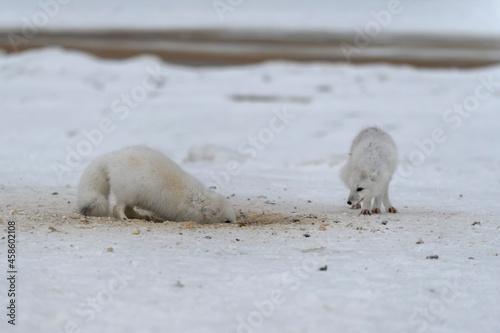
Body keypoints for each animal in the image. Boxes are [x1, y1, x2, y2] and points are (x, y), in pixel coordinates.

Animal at [76, 146, 236, 222]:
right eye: (227, 221)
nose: (234, 223)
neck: (195, 200)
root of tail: (111, 157)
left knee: (129, 209)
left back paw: (142, 217)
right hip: (130, 193)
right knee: (118, 208)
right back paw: (125, 219)